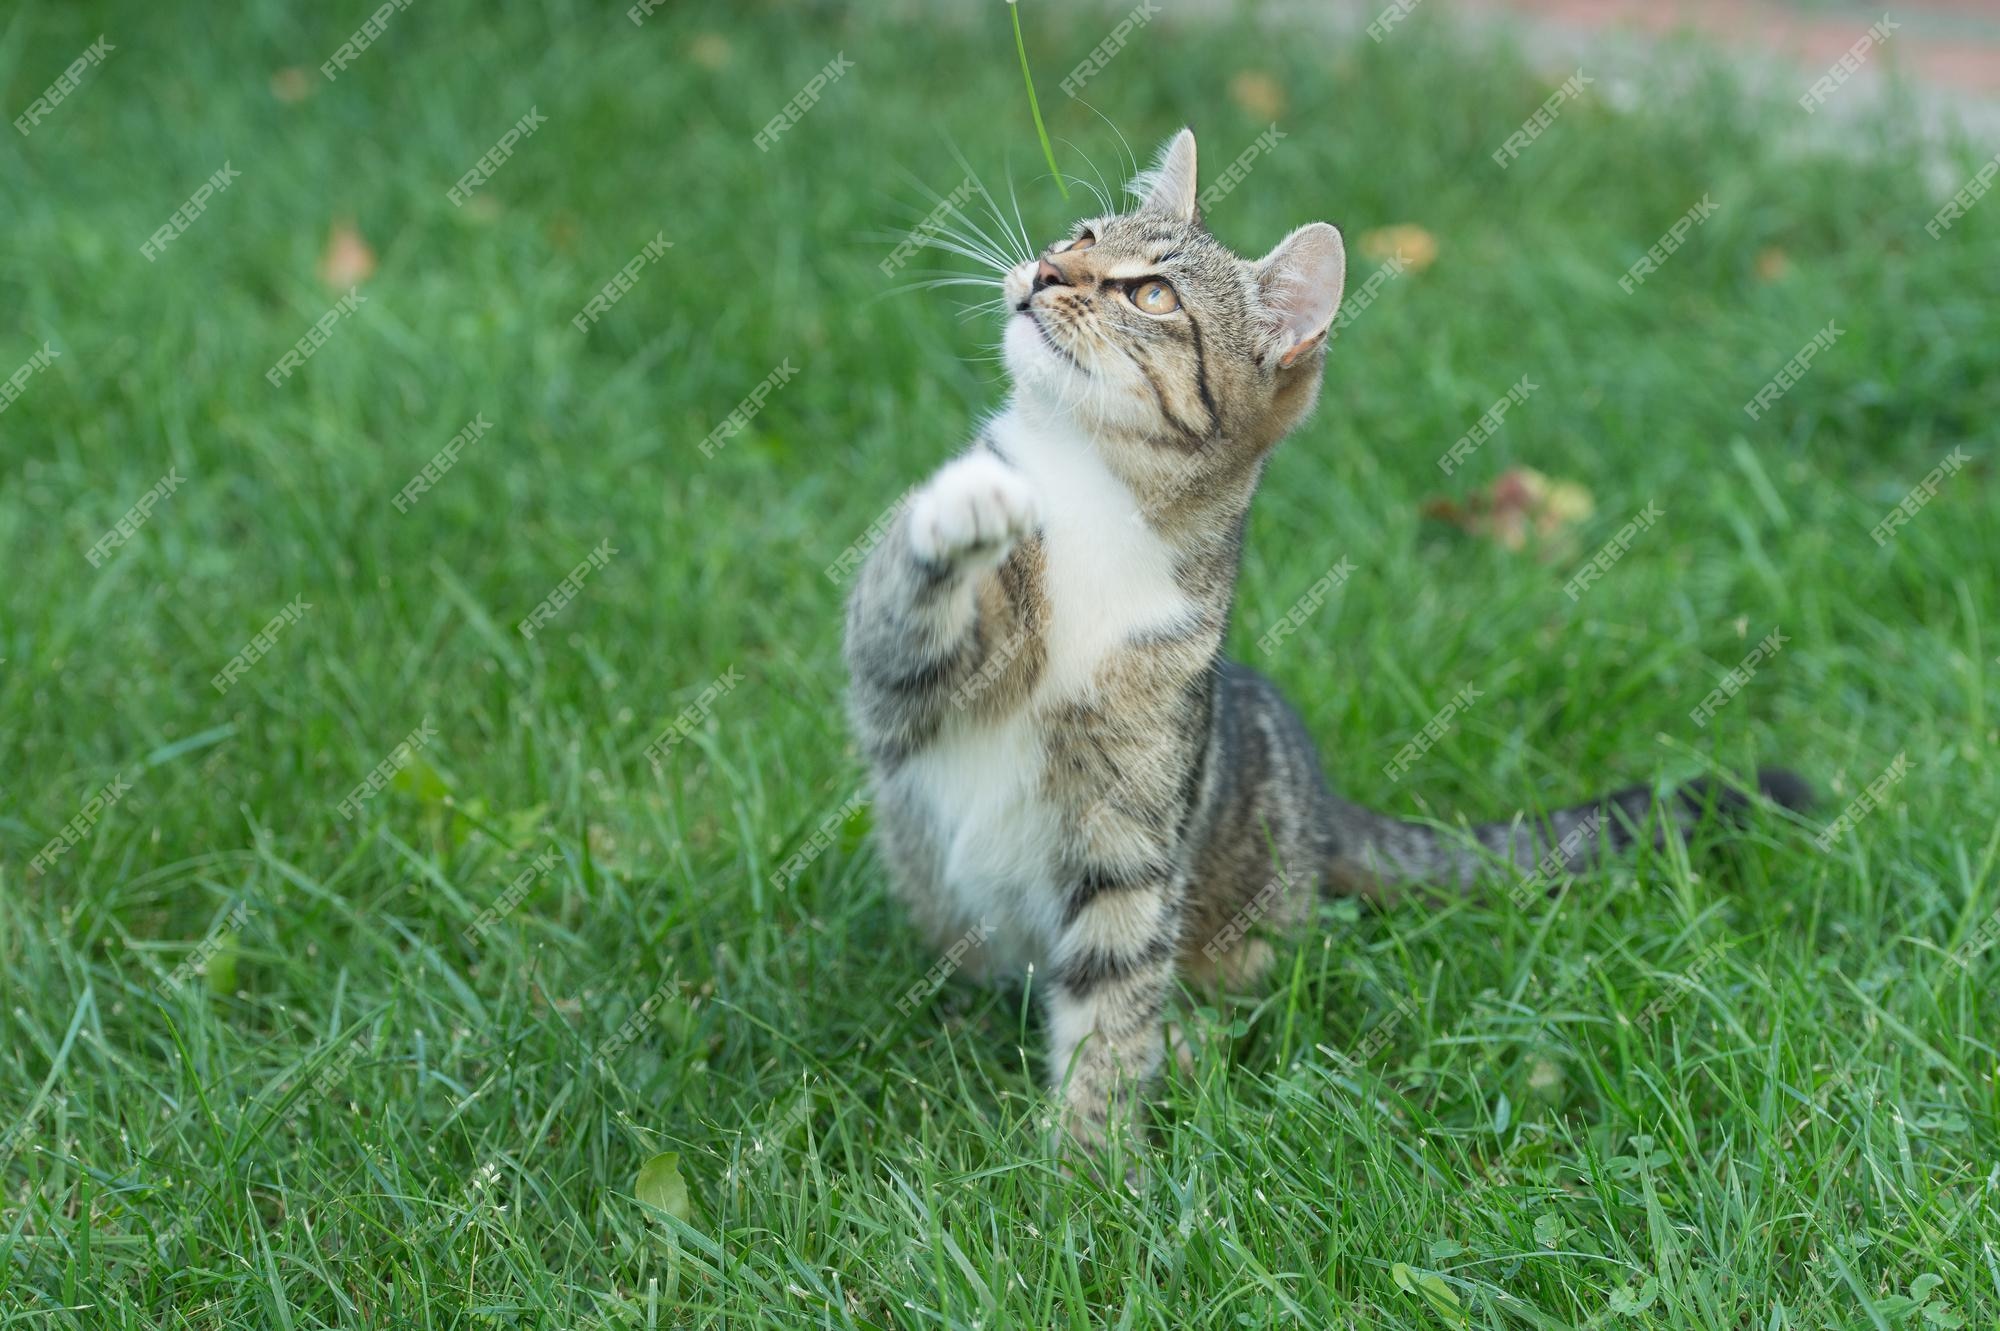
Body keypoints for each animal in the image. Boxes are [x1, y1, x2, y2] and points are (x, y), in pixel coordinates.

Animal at [836, 129, 1808, 1159]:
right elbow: (900, 607)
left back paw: (1185, 1042)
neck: (1089, 494)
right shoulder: (900, 684)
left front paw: (1089, 1168)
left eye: (1152, 295)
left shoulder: (1131, 845)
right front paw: (963, 505)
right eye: (1083, 234)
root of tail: (1324, 804)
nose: (1048, 269)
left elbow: (1113, 1008)